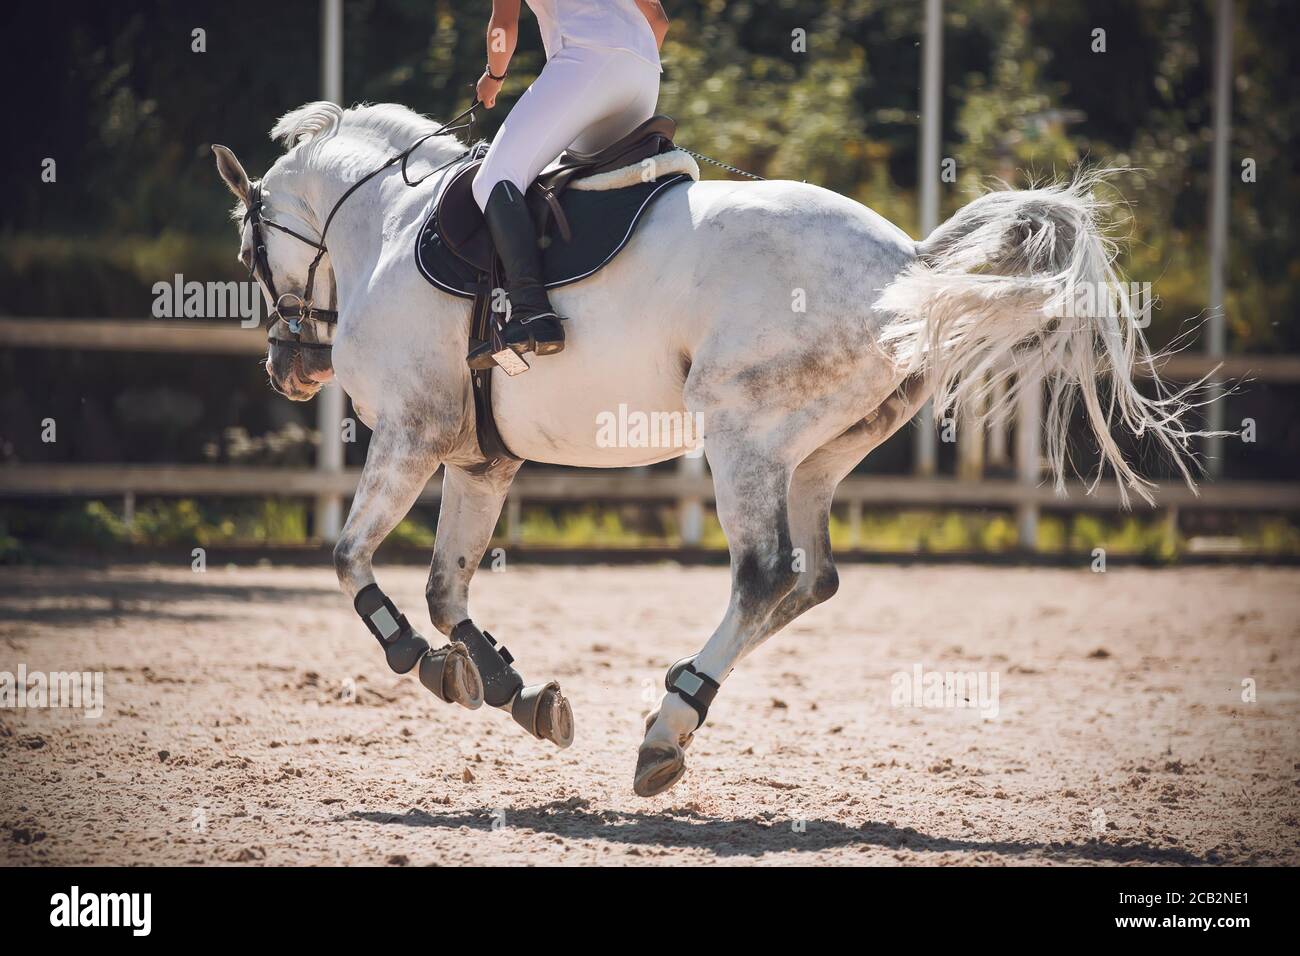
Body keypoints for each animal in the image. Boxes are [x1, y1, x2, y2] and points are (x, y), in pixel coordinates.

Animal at [215, 100, 1206, 796]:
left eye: (249, 250)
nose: (287, 369)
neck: (384, 222)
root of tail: (908, 264)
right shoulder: (478, 459)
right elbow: (445, 586)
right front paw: (509, 688)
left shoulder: (410, 433)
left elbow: (349, 558)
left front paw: (417, 662)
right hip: (818, 455)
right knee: (812, 578)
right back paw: (677, 703)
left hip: (743, 434)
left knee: (764, 574)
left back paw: (667, 726)